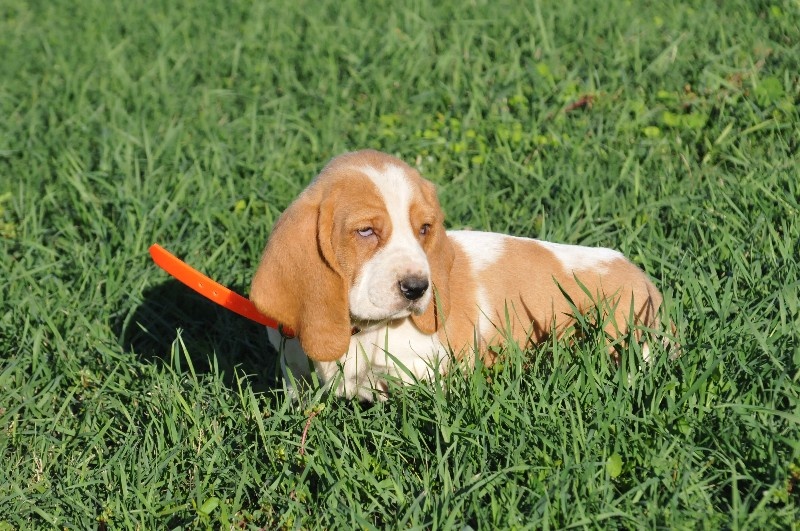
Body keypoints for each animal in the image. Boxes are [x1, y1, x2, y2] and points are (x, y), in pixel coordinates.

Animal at [250, 150, 668, 400]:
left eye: (425, 229)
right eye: (366, 232)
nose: (418, 288)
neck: (360, 332)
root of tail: (643, 278)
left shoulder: (421, 374)